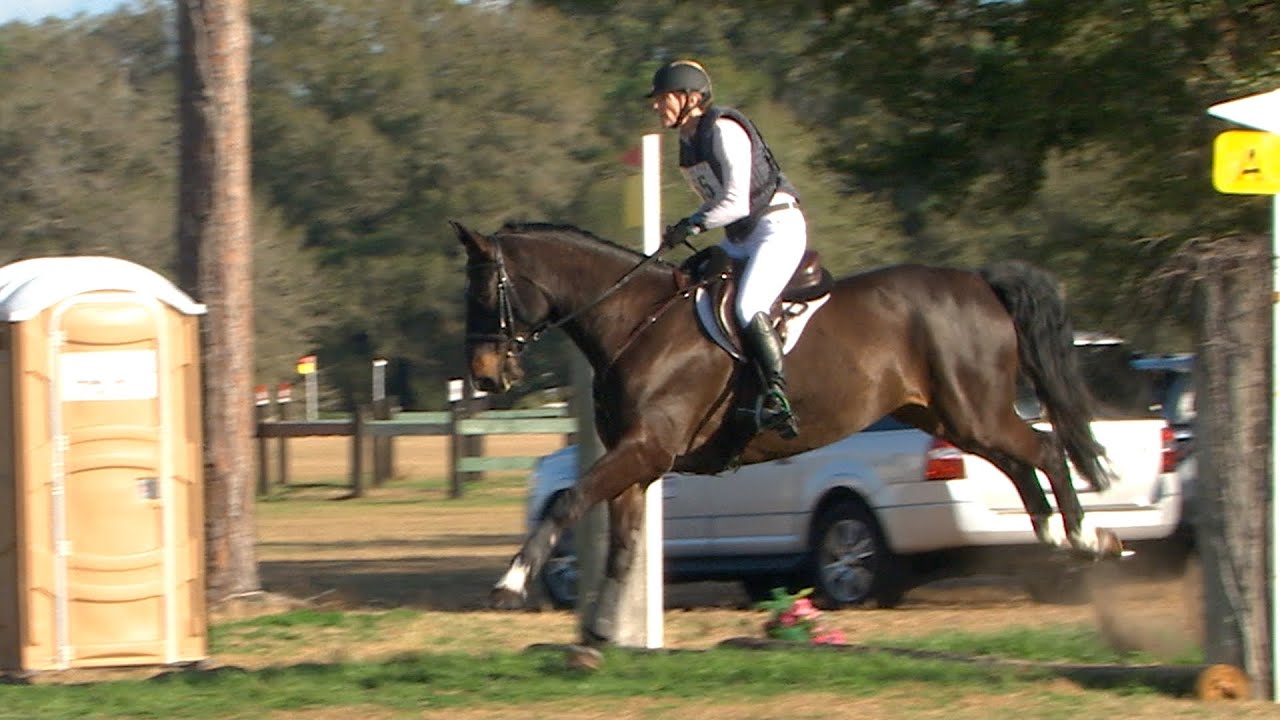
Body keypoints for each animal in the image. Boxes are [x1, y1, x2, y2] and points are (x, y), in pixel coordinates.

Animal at [452, 220, 1123, 645]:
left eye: (484, 291)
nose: (483, 376)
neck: (636, 321)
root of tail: (980, 281)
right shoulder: (636, 464)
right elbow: (621, 548)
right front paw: (599, 635)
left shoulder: (644, 450)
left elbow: (565, 501)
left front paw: (509, 585)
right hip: (949, 416)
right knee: (1019, 461)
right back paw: (1059, 537)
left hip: (973, 409)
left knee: (1045, 448)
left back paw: (1086, 539)